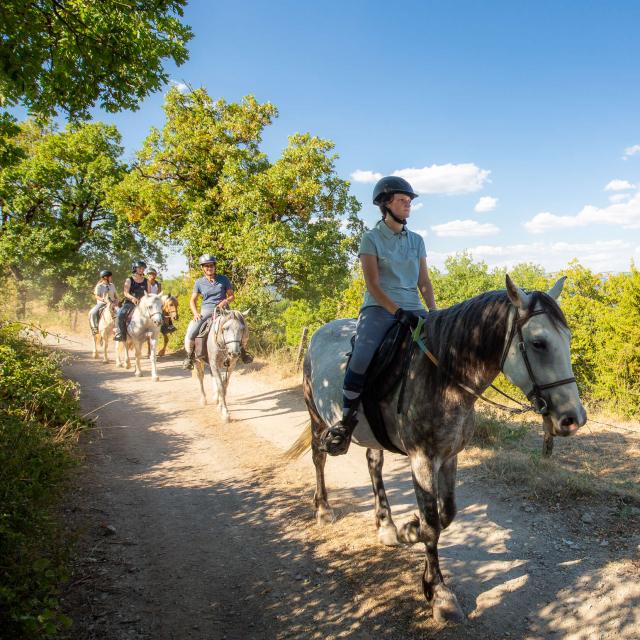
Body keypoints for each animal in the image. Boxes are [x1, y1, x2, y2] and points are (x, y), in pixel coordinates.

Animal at [290, 276, 584, 624]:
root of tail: (320, 332)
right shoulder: (422, 460)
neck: (445, 378)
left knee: (374, 463)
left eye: (567, 338)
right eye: (539, 343)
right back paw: (323, 510)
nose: (573, 419)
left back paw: (386, 526)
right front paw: (439, 593)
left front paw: (408, 530)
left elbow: (447, 515)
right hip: (316, 416)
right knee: (319, 458)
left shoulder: (449, 457)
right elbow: (432, 526)